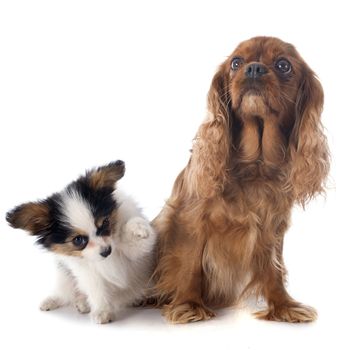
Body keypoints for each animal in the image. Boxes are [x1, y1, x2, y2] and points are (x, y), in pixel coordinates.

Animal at [5, 160, 156, 324]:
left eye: (105, 223)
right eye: (78, 240)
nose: (107, 251)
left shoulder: (135, 255)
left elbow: (136, 241)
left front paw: (138, 227)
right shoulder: (85, 271)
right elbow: (96, 289)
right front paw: (102, 311)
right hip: (64, 276)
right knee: (65, 292)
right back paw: (60, 301)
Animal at [152, 37, 330, 324]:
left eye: (284, 65)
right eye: (236, 63)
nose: (254, 68)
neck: (254, 166)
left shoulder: (272, 228)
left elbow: (274, 269)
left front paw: (284, 306)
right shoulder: (190, 218)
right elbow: (190, 263)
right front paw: (189, 304)